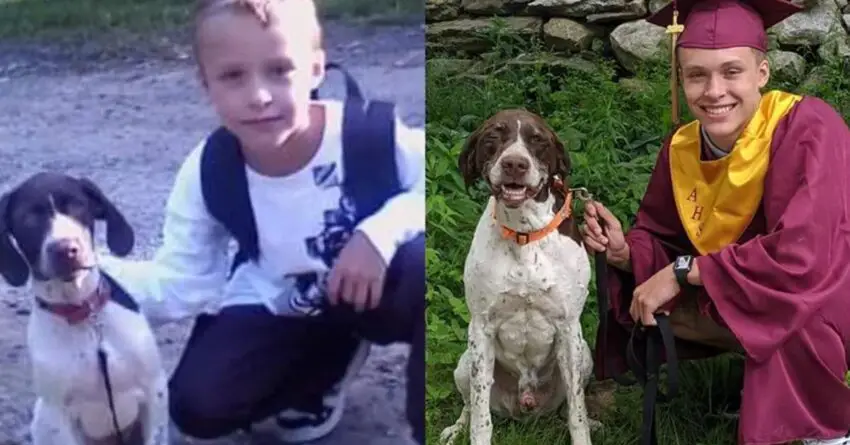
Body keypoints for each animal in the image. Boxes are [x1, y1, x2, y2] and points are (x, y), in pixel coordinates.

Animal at [0, 173, 169, 444]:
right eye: (28, 218)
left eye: (77, 205)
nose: (66, 249)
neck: (84, 314)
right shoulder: (58, 415)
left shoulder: (155, 390)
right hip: (42, 417)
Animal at [440, 108, 592, 444]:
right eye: (493, 136)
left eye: (537, 140)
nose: (514, 164)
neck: (525, 232)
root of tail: (526, 404)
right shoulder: (481, 329)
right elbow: (480, 418)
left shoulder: (568, 328)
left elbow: (577, 413)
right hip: (464, 364)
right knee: (469, 404)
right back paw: (455, 429)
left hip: (584, 353)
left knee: (570, 405)